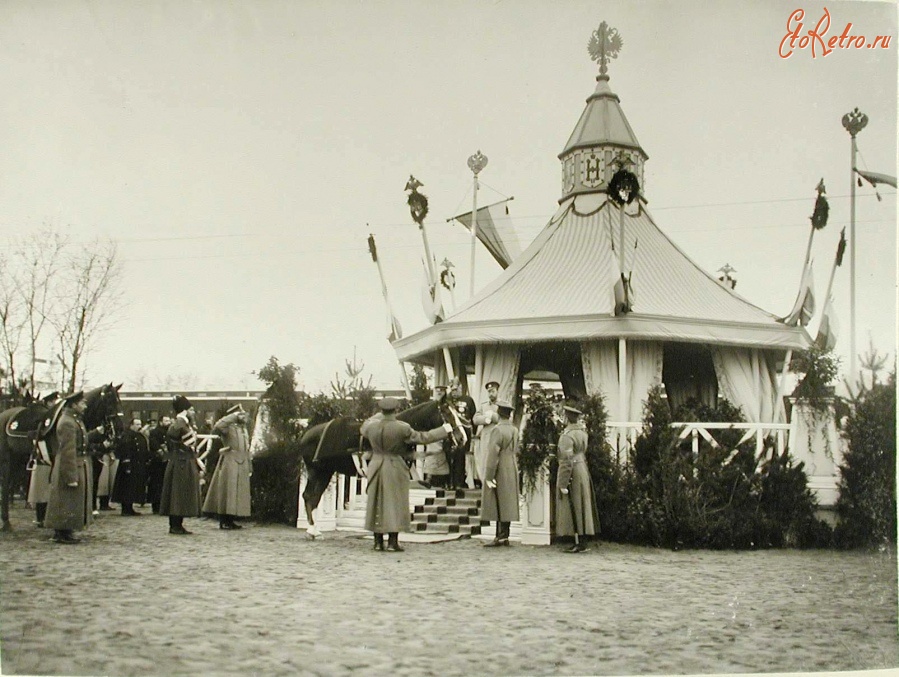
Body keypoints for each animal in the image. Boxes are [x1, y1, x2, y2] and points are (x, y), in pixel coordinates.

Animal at [0, 382, 125, 532]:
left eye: (119, 400)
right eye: (109, 400)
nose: (120, 430)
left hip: (17, 461)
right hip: (6, 460)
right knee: (5, 486)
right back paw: (6, 522)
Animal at [298, 396, 468, 532]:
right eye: (447, 413)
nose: (462, 438)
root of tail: (305, 435)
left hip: (325, 473)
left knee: (314, 497)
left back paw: (314, 529)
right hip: (315, 472)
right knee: (308, 496)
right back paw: (312, 530)